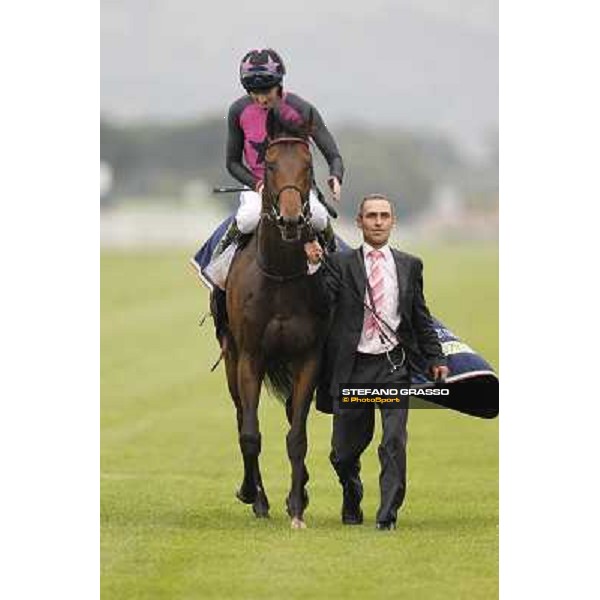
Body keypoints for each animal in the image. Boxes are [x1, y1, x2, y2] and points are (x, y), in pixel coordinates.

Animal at [224, 110, 330, 528]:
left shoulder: (309, 356)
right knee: (241, 416)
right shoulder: (250, 356)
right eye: (269, 164)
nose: (290, 218)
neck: (283, 276)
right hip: (231, 358)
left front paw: (297, 506)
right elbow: (250, 433)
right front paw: (256, 498)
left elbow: (297, 435)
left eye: (308, 165)